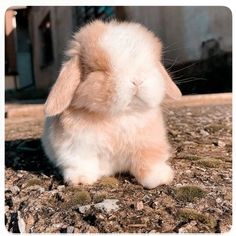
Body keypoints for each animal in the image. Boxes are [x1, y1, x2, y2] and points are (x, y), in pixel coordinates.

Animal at [41, 20, 181, 190]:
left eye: (152, 64)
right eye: (99, 70)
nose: (137, 81)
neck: (118, 115)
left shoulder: (149, 143)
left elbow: (148, 160)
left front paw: (160, 178)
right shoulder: (76, 147)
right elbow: (81, 163)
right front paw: (80, 180)